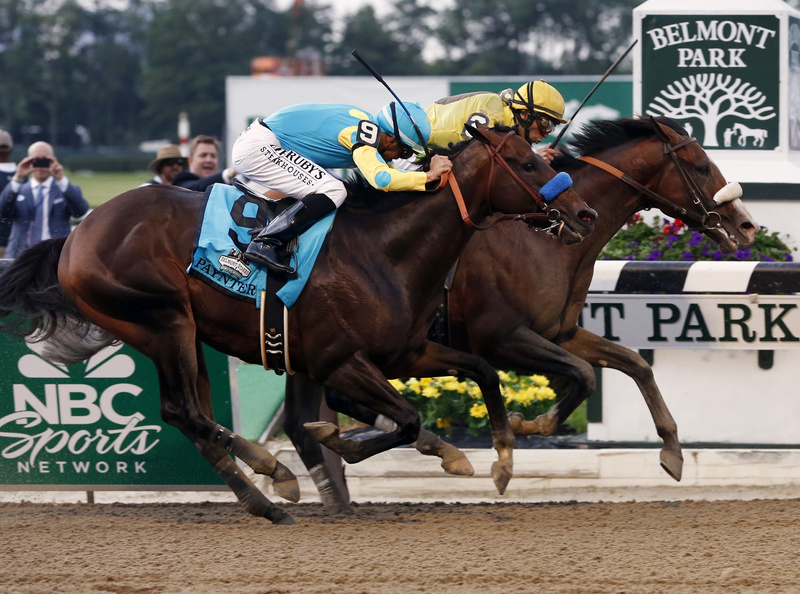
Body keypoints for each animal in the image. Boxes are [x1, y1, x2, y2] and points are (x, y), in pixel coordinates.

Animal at [0, 125, 592, 524]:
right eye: (527, 163)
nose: (583, 214)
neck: (384, 250)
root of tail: (76, 235)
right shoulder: (338, 361)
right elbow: (401, 418)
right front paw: (342, 440)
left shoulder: (407, 352)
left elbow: (483, 373)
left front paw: (501, 460)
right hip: (162, 321)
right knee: (181, 411)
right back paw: (273, 472)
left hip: (182, 333)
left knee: (194, 414)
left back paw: (264, 495)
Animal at [284, 117, 760, 512]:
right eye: (701, 166)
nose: (746, 225)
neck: (544, 240)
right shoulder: (503, 338)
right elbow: (583, 375)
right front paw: (527, 425)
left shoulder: (560, 331)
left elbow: (634, 364)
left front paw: (672, 451)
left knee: (317, 412)